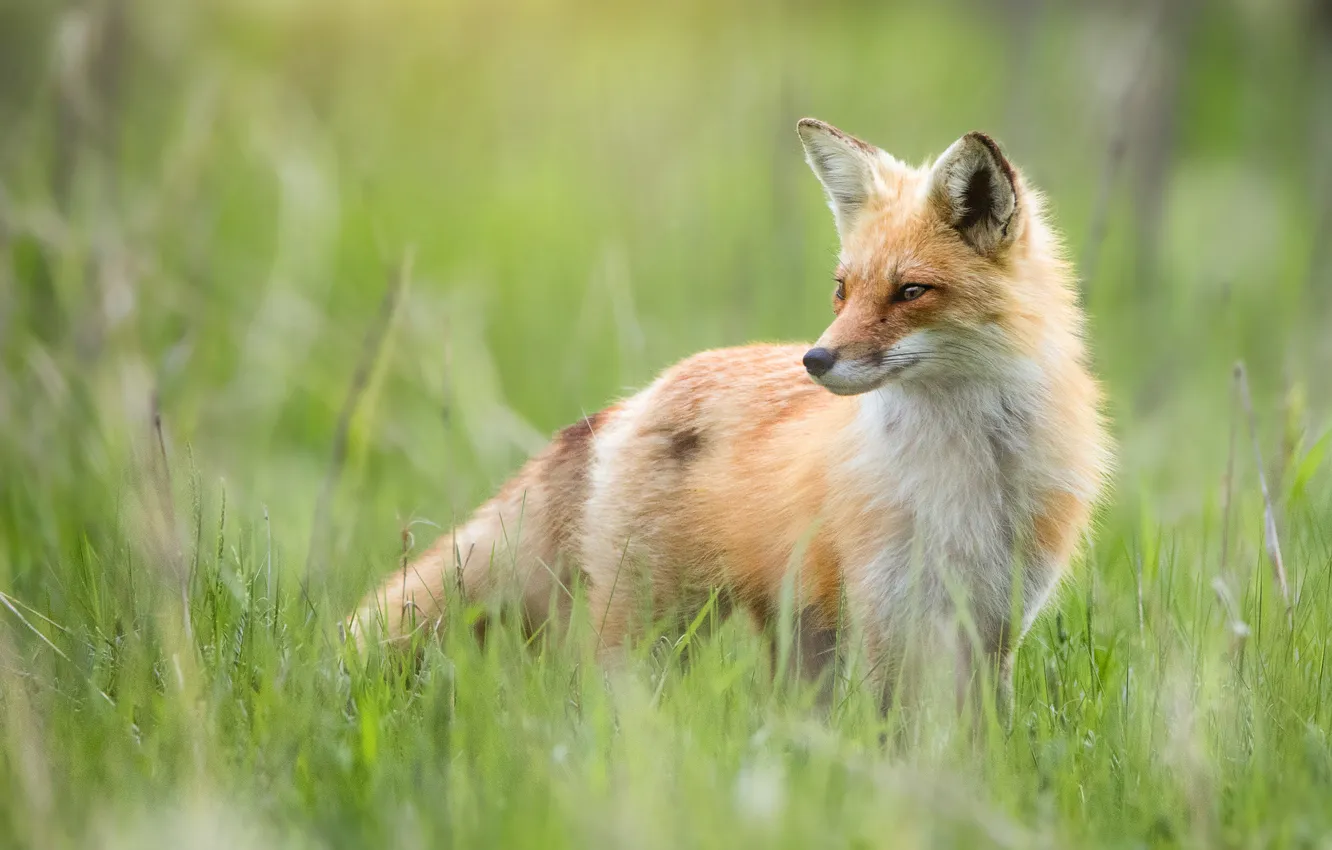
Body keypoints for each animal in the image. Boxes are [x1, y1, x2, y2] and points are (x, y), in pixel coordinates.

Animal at [351, 119, 1109, 705]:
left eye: (911, 291)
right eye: (843, 289)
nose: (815, 360)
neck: (962, 473)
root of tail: (640, 396)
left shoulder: (995, 626)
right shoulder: (885, 617)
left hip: (796, 634)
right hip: (654, 628)